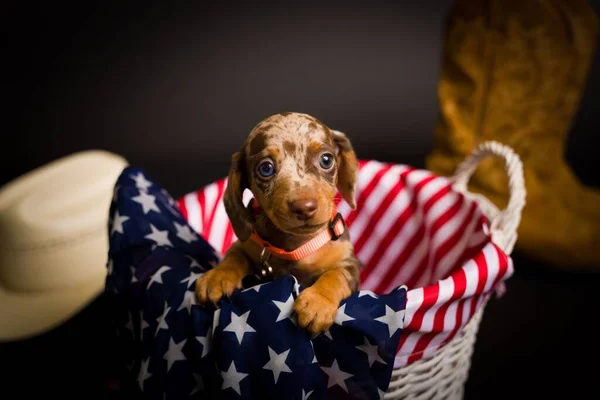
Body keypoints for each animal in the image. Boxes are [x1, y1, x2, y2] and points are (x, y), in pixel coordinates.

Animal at [197, 111, 360, 336]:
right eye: (266, 168)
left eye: (326, 160)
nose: (305, 207)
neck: (297, 246)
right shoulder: (249, 245)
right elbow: (234, 256)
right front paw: (218, 275)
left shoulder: (348, 264)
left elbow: (335, 275)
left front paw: (318, 301)